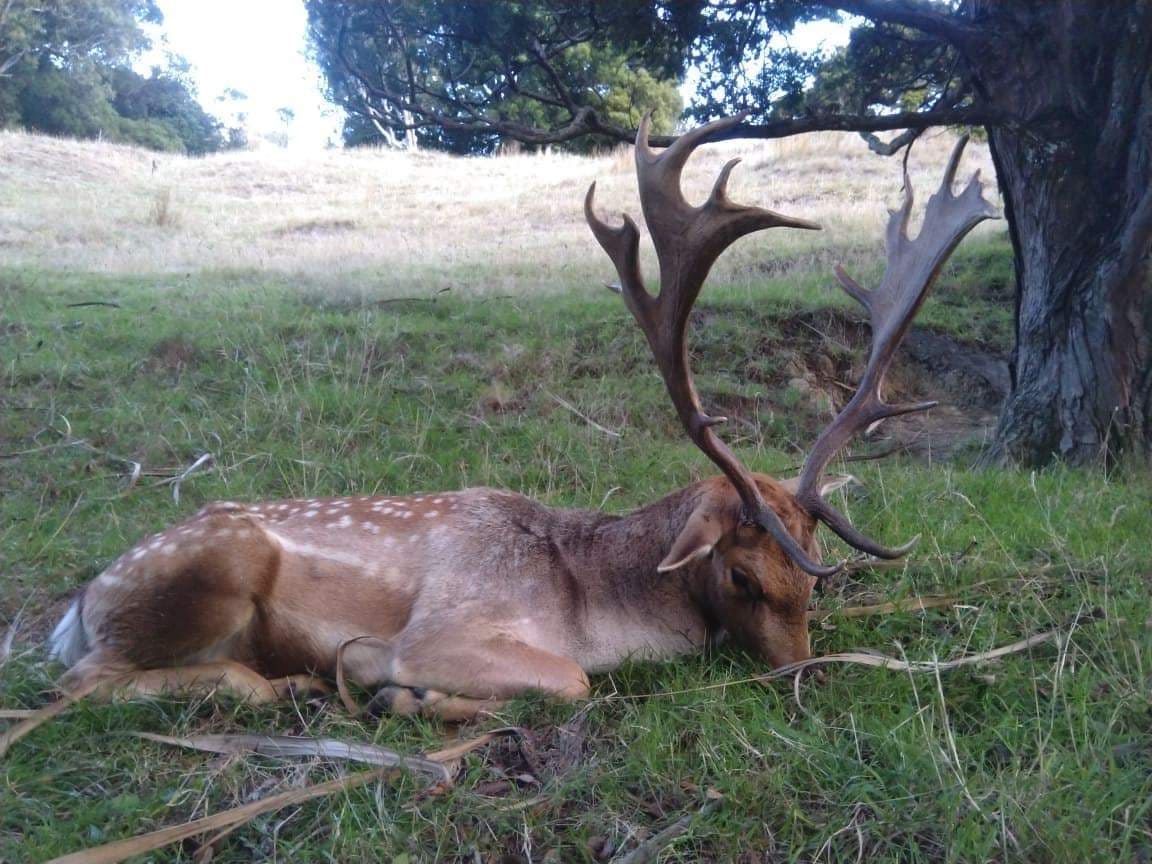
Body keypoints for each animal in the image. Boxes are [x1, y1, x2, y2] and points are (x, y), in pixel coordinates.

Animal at [49, 114, 995, 721]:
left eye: (815, 582)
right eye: (741, 577)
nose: (803, 676)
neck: (581, 599)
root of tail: (82, 604)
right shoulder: (445, 628)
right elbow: (570, 682)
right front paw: (402, 694)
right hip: (205, 570)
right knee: (78, 684)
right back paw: (286, 686)